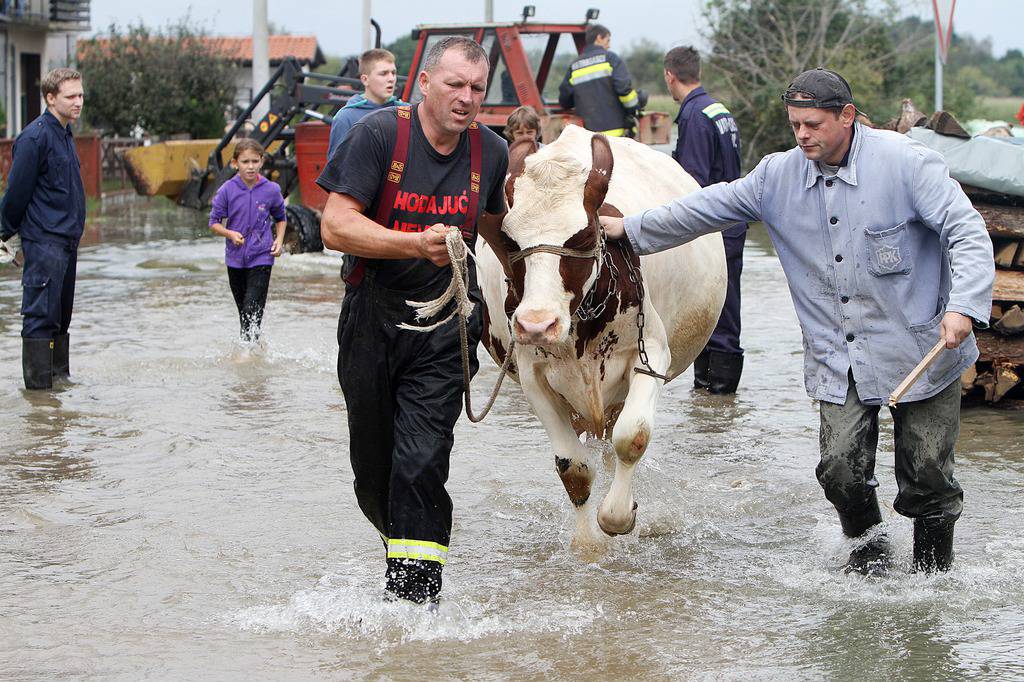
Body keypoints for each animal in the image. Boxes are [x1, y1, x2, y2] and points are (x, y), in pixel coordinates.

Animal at [477, 123, 729, 540]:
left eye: (582, 236)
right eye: (510, 240)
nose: (536, 325)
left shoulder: (651, 355)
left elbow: (633, 436)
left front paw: (617, 516)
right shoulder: (532, 376)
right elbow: (574, 469)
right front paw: (587, 544)